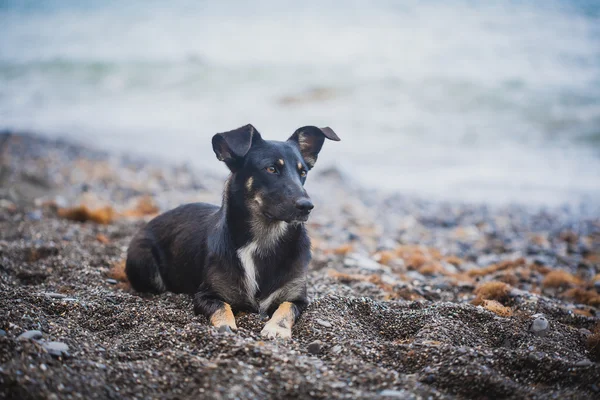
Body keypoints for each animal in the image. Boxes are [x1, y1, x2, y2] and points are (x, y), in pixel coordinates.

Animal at [124, 124, 340, 338]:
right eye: (271, 169)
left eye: (303, 172)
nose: (307, 206)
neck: (263, 239)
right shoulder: (206, 296)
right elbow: (222, 308)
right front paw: (226, 327)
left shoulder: (298, 298)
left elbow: (285, 308)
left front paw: (276, 328)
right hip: (144, 261)